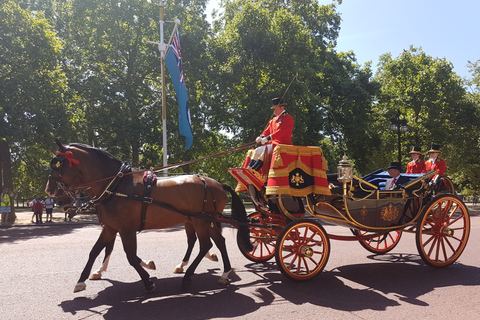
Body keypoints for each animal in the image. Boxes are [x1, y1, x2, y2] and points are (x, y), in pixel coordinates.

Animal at [47, 141, 253, 294]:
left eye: (58, 165)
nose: (50, 192)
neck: (116, 185)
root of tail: (216, 182)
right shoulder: (110, 228)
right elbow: (95, 251)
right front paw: (82, 280)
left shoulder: (127, 229)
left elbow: (130, 257)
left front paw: (147, 280)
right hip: (204, 220)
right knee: (218, 241)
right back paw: (224, 273)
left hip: (201, 220)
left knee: (205, 245)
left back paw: (188, 276)